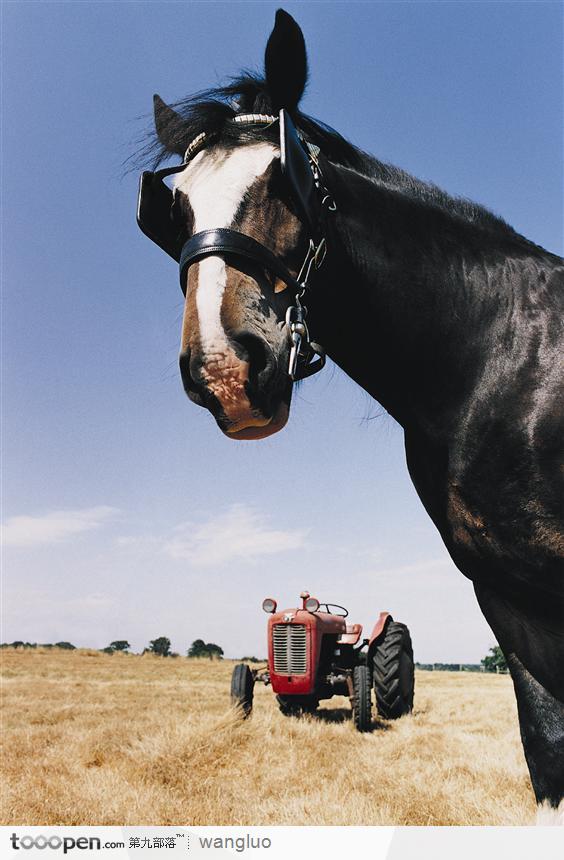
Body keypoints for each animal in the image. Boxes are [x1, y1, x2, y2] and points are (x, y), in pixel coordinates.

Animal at [138, 8, 564, 820]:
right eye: (171, 209)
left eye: (290, 177)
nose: (223, 369)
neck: (495, 351)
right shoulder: (509, 597)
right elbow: (548, 750)